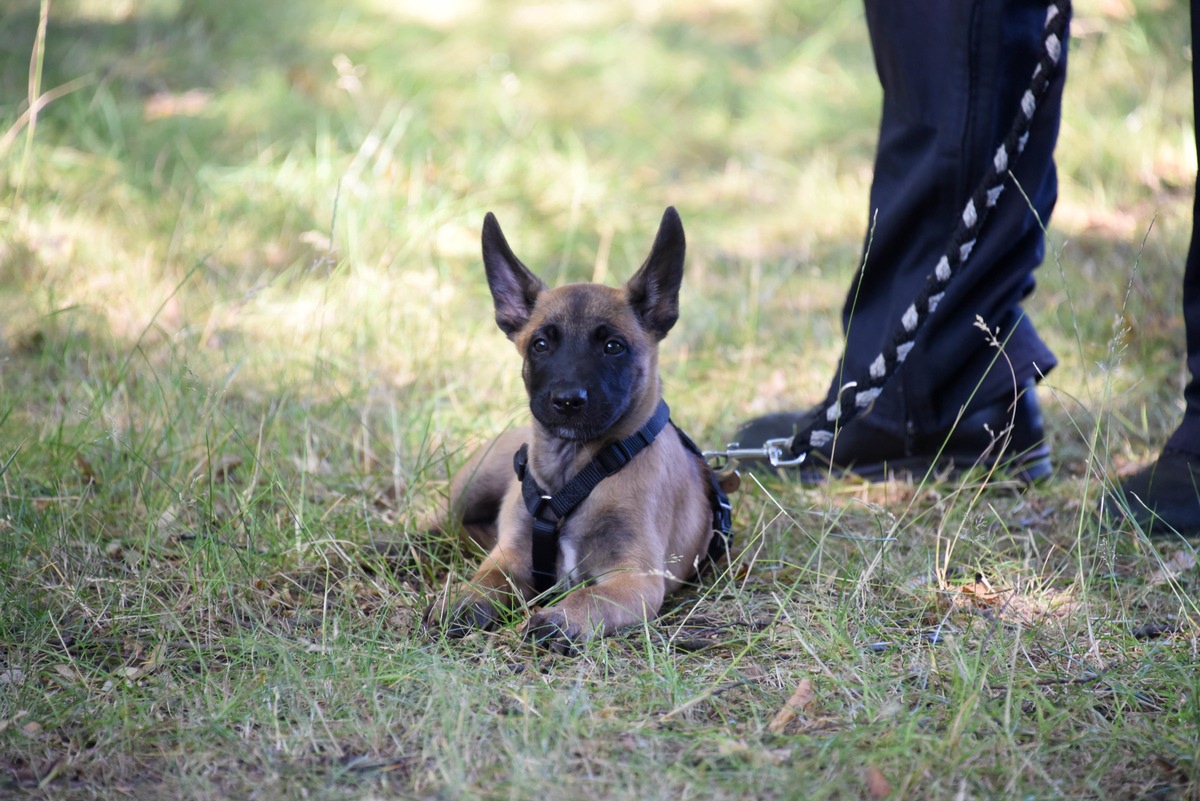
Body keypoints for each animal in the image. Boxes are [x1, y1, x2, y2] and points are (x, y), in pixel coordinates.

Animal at [427, 206, 724, 652]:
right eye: (540, 344)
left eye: (613, 346)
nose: (567, 401)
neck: (576, 475)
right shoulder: (510, 557)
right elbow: (486, 580)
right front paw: (464, 601)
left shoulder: (635, 579)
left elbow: (592, 597)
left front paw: (559, 619)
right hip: (468, 489)